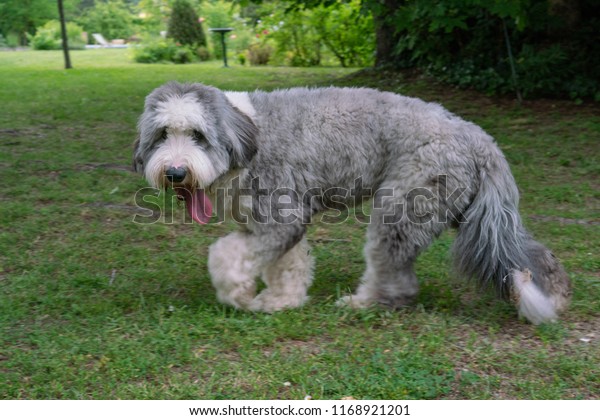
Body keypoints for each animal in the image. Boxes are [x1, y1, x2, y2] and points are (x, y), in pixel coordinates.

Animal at [132, 82, 572, 324]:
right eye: (161, 134)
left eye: (197, 135)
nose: (175, 172)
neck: (246, 135)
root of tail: (480, 138)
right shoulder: (265, 223)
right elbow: (287, 265)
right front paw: (280, 301)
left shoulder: (280, 218)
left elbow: (226, 257)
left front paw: (237, 295)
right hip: (476, 215)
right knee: (520, 252)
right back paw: (553, 293)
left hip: (401, 210)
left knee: (397, 280)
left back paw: (364, 303)